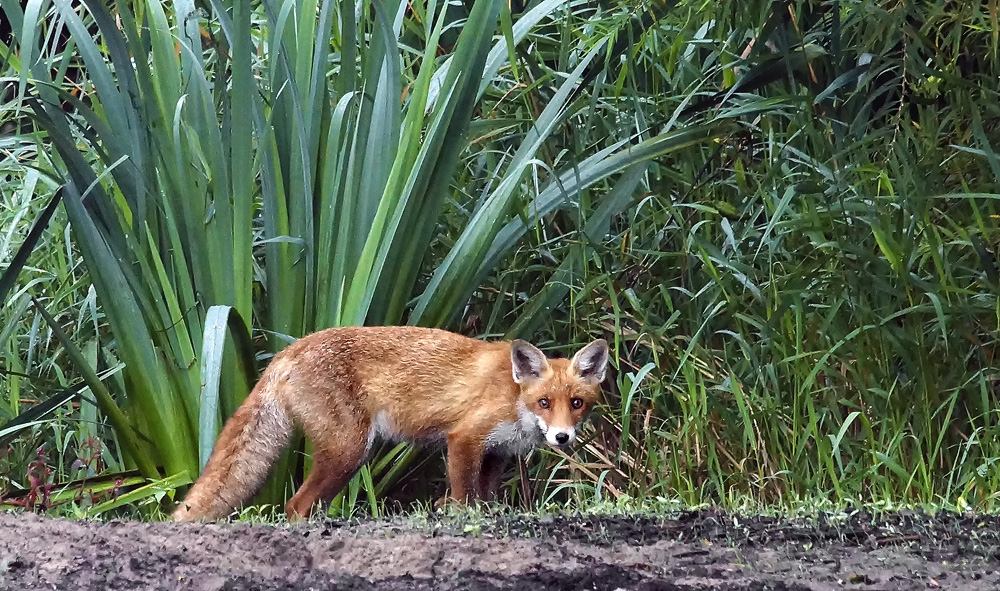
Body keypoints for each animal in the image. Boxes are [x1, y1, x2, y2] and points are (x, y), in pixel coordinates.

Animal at [172, 325, 609, 521]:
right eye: (544, 402)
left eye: (576, 404)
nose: (562, 437)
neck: (514, 396)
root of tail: (290, 350)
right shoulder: (465, 437)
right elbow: (464, 498)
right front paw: (459, 517)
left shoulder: (497, 453)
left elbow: (485, 500)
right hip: (349, 451)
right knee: (296, 505)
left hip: (346, 459)